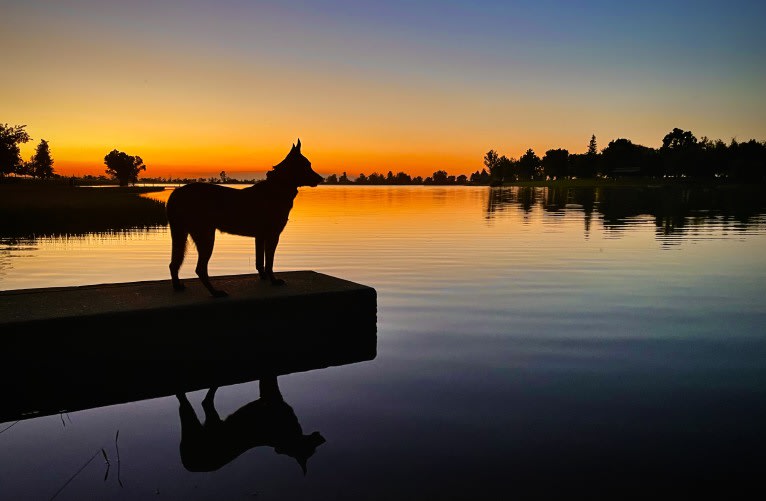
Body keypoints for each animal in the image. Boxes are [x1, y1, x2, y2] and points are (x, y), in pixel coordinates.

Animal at [166, 140, 322, 296]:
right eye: (307, 165)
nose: (321, 179)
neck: (278, 186)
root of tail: (176, 193)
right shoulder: (273, 235)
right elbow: (269, 263)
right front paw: (273, 280)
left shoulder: (260, 236)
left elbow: (260, 262)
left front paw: (263, 277)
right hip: (206, 236)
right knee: (200, 269)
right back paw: (215, 293)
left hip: (181, 234)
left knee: (173, 264)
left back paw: (178, 286)